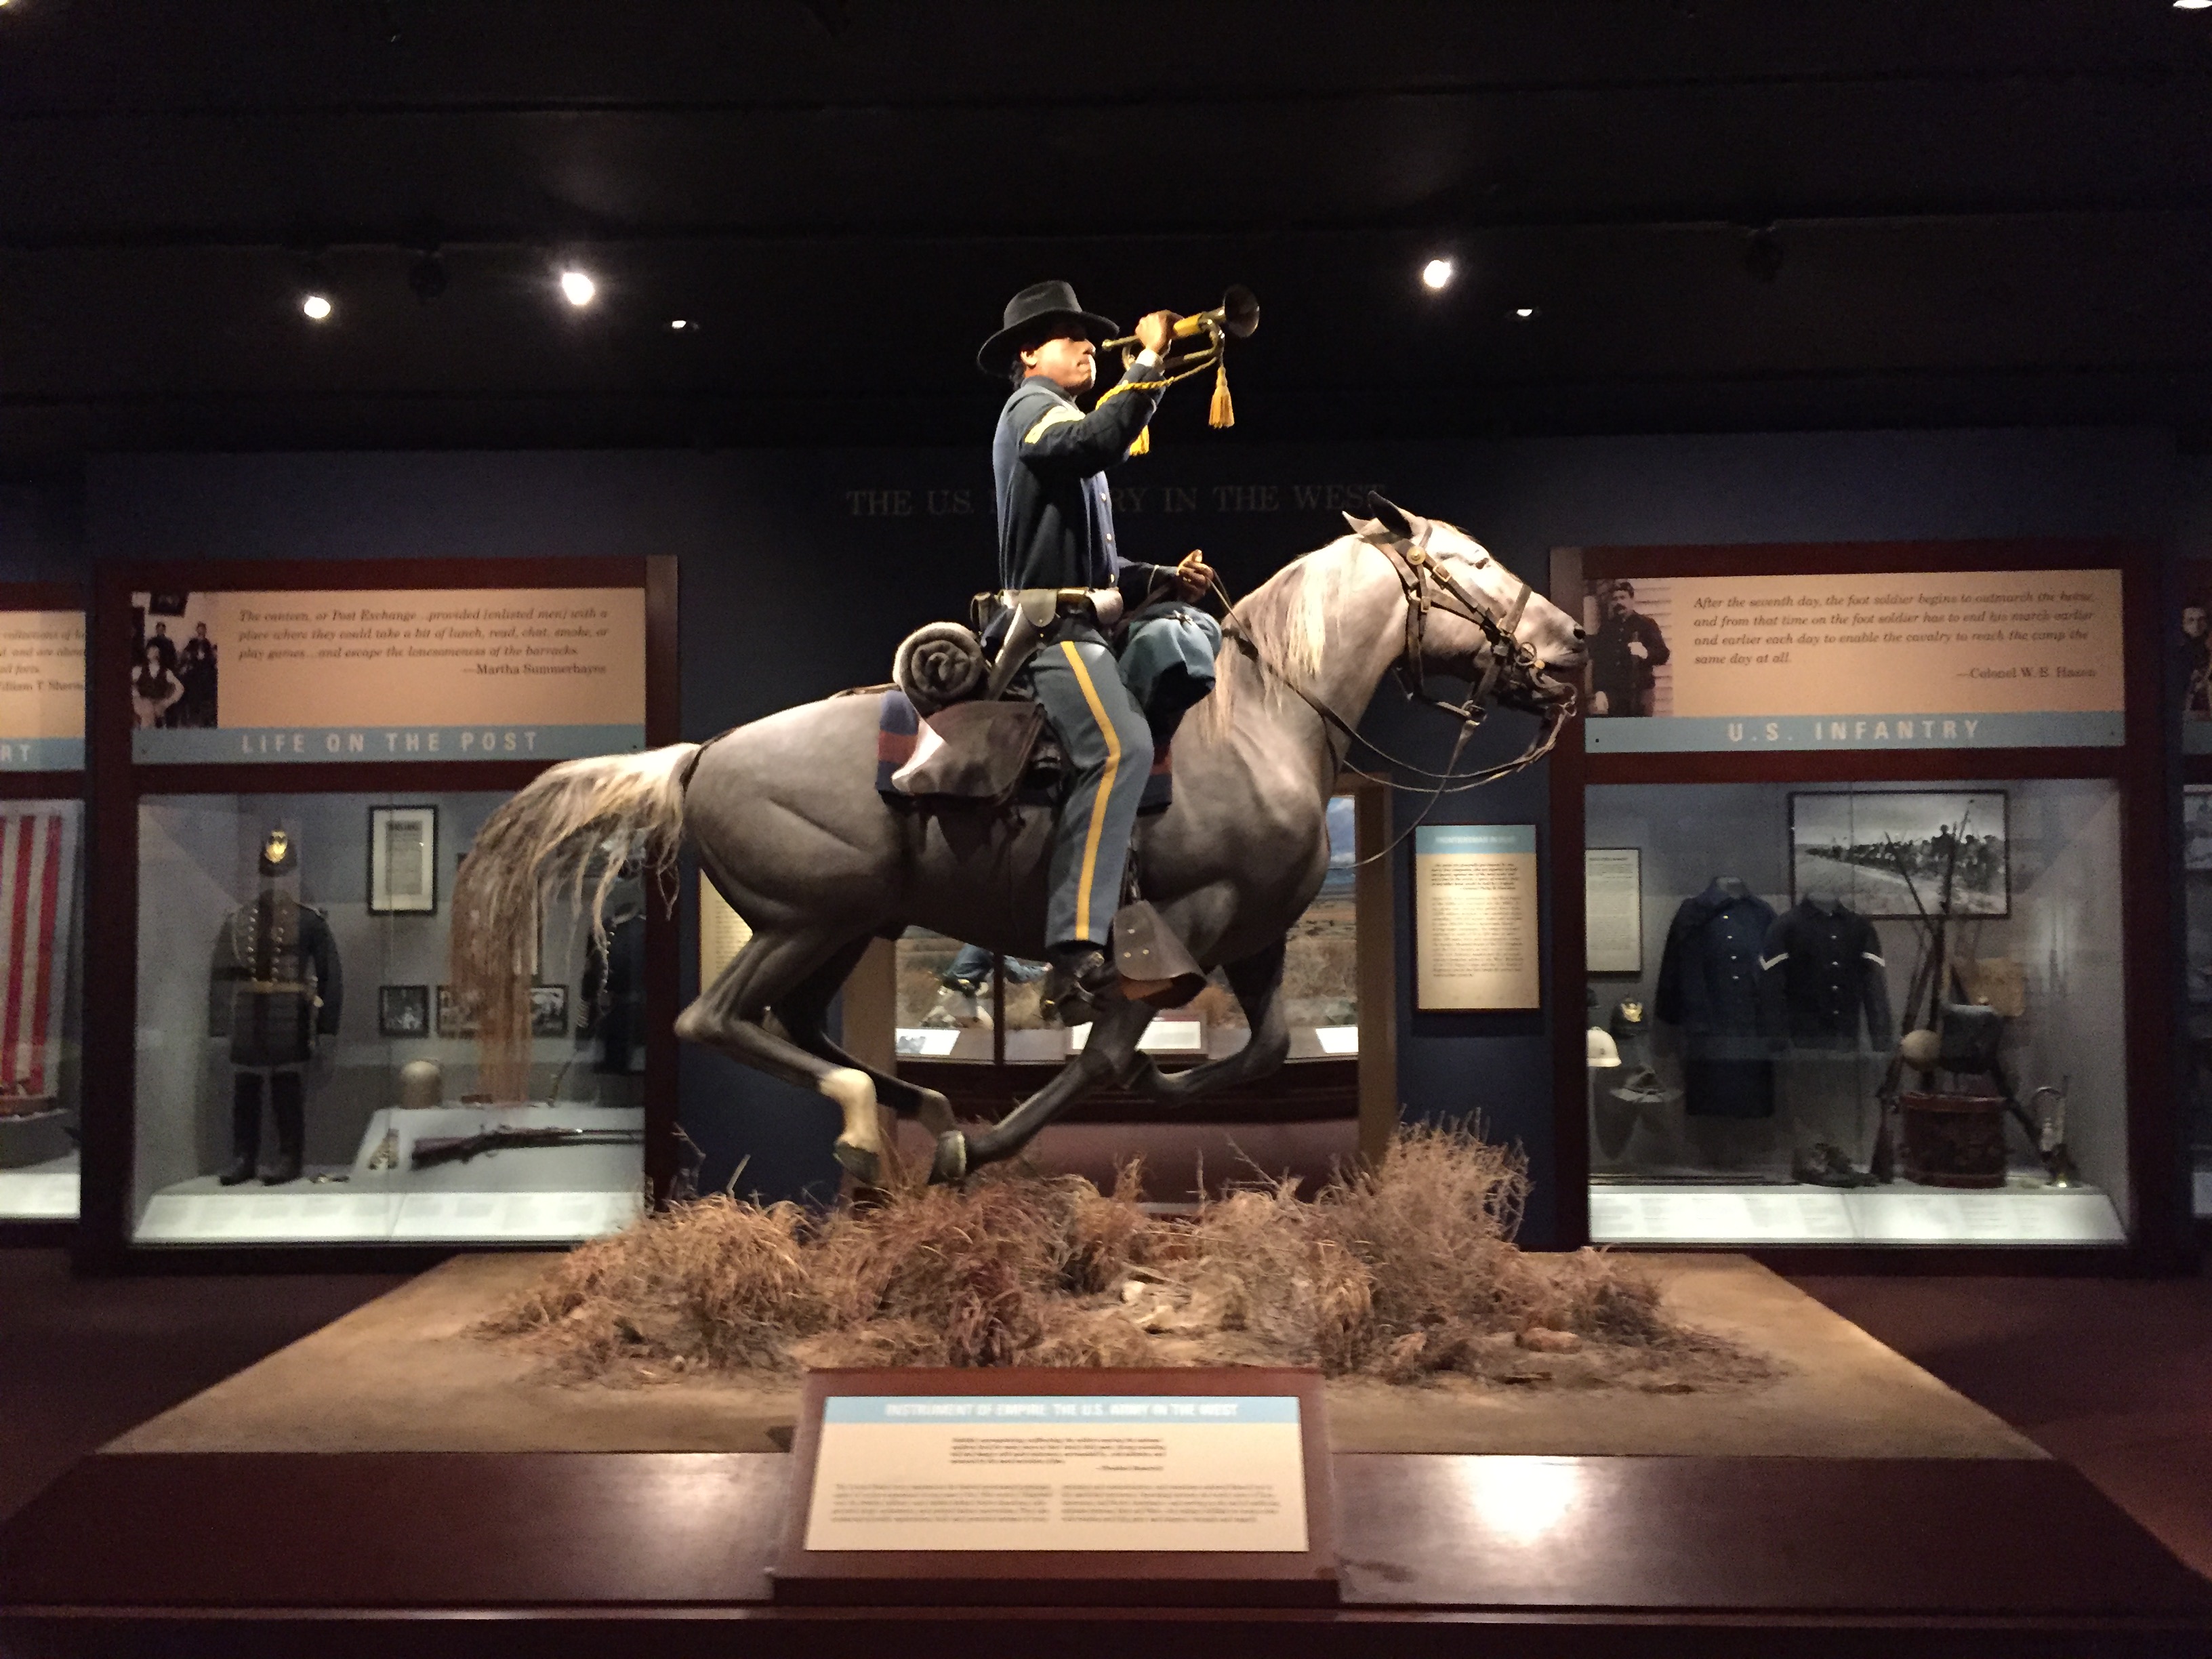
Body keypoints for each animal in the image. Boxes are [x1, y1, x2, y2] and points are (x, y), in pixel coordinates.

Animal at [453, 499, 1593, 1185]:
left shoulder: (1255, 938)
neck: (1266, 717)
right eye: (1476, 564)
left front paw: (1150, 1094)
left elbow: (1262, 1048)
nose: (1574, 642)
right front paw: (995, 1140)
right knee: (714, 1018)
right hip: (808, 920)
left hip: (839, 931)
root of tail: (703, 754)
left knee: (792, 1022)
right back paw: (880, 1118)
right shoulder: (1174, 937)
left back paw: (915, 1100)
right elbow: (1103, 1055)